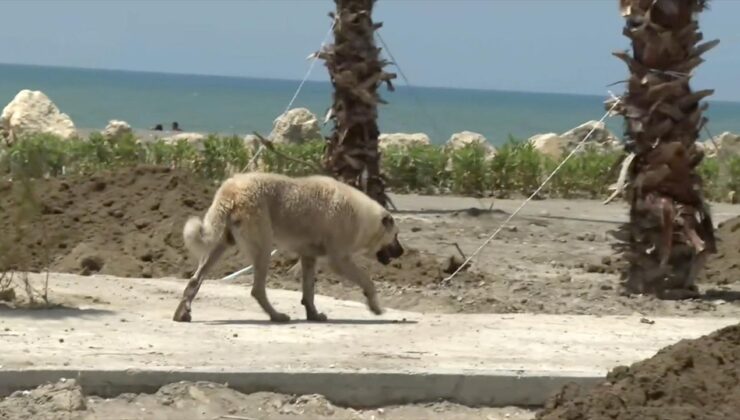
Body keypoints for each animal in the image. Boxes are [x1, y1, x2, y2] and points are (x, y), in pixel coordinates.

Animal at [173, 172, 404, 324]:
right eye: (396, 235)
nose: (401, 252)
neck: (363, 217)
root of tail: (230, 191)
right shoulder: (339, 260)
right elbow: (366, 280)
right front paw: (375, 306)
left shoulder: (309, 258)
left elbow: (309, 290)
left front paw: (313, 315)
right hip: (263, 247)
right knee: (257, 289)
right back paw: (276, 316)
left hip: (220, 245)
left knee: (195, 280)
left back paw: (182, 313)